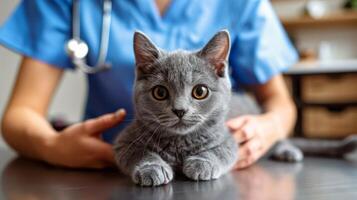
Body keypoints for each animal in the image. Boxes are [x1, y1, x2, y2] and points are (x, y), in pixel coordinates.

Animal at [113, 30, 236, 187]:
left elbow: (221, 150)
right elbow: (138, 152)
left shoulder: (228, 138)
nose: (180, 110)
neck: (179, 142)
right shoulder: (124, 141)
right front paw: (152, 167)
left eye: (200, 91)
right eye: (160, 92)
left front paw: (202, 163)